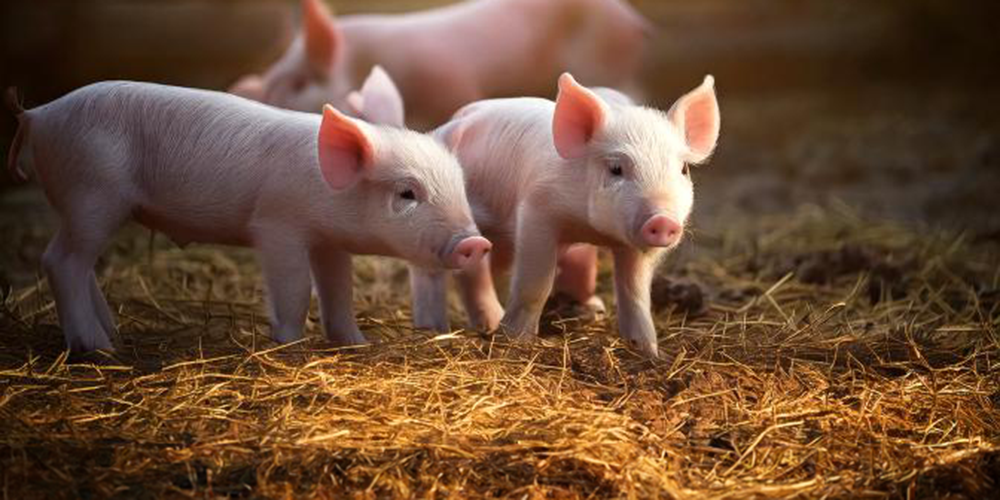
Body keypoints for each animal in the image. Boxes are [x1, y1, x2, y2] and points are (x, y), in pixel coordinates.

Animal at [4, 81, 490, 353]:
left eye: (460, 186)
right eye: (407, 193)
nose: (476, 243)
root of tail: (38, 115)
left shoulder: (329, 241)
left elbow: (339, 291)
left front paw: (355, 342)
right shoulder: (277, 225)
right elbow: (295, 288)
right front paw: (291, 343)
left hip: (83, 203)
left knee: (79, 263)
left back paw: (113, 337)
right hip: (94, 192)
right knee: (60, 261)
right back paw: (97, 349)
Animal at [409, 74, 720, 357]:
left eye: (683, 170)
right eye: (616, 168)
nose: (663, 220)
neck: (588, 228)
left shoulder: (633, 247)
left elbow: (635, 295)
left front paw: (650, 353)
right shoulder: (536, 212)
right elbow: (536, 283)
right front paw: (517, 342)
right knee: (443, 271)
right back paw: (443, 327)